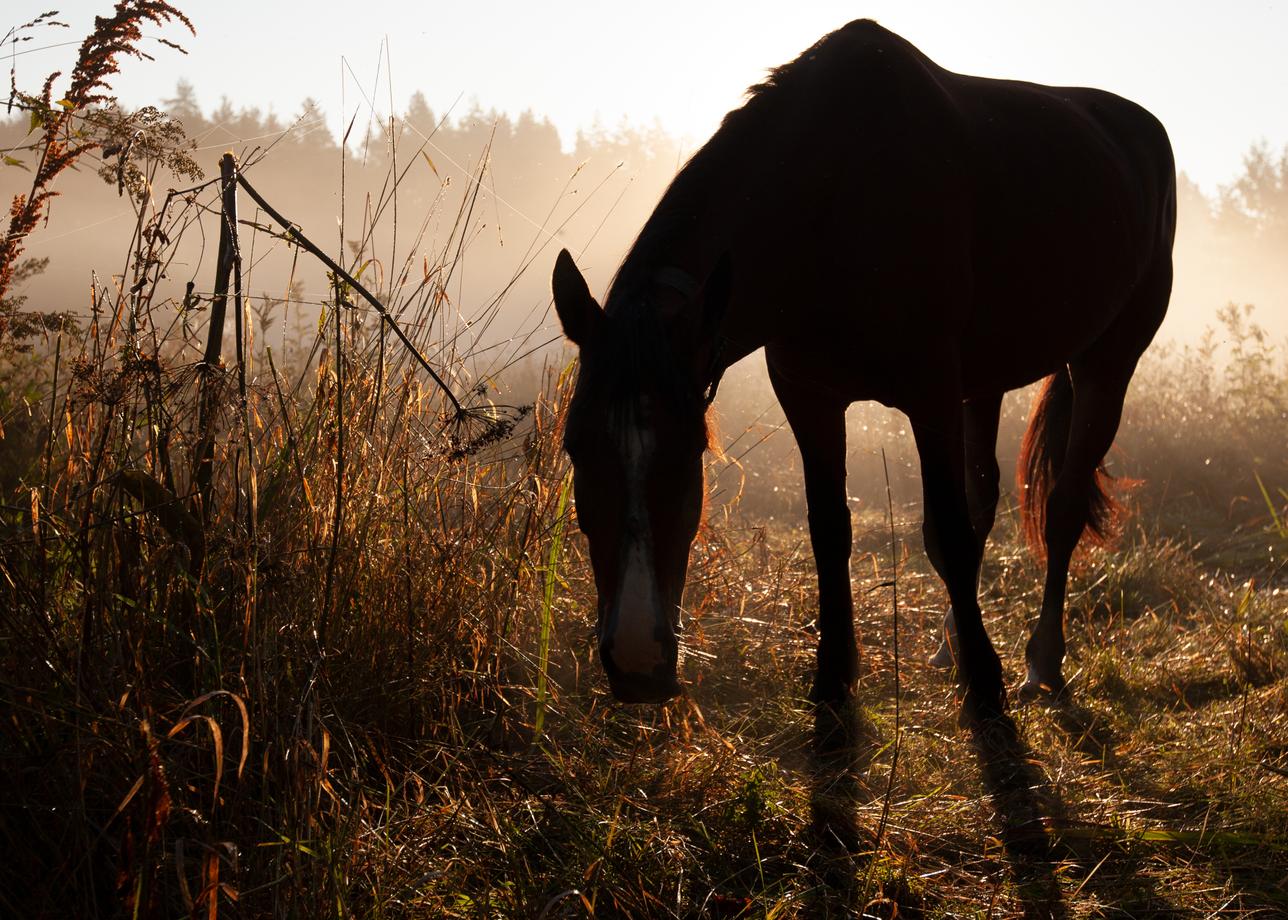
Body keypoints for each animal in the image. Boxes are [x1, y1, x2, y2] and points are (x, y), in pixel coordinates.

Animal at [551, 19, 1175, 719]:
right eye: (575, 447)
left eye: (691, 453)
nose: (636, 663)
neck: (832, 200)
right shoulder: (809, 394)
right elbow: (832, 529)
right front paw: (834, 679)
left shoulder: (931, 392)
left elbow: (948, 532)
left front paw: (986, 687)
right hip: (983, 384)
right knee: (985, 496)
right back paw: (952, 646)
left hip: (1105, 364)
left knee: (1062, 506)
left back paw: (1040, 660)